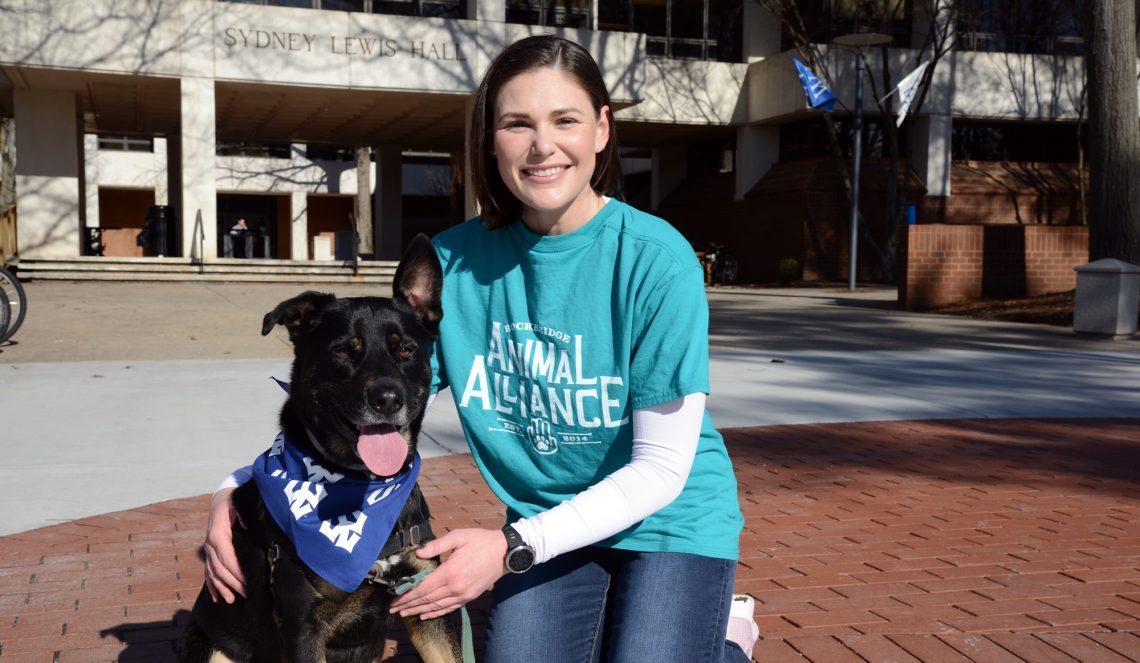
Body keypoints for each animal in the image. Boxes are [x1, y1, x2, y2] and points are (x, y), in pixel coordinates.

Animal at [180, 234, 460, 663]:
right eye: (344, 351)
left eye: (406, 351)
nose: (387, 399)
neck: (362, 487)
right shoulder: (303, 625)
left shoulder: (427, 599)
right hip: (213, 647)